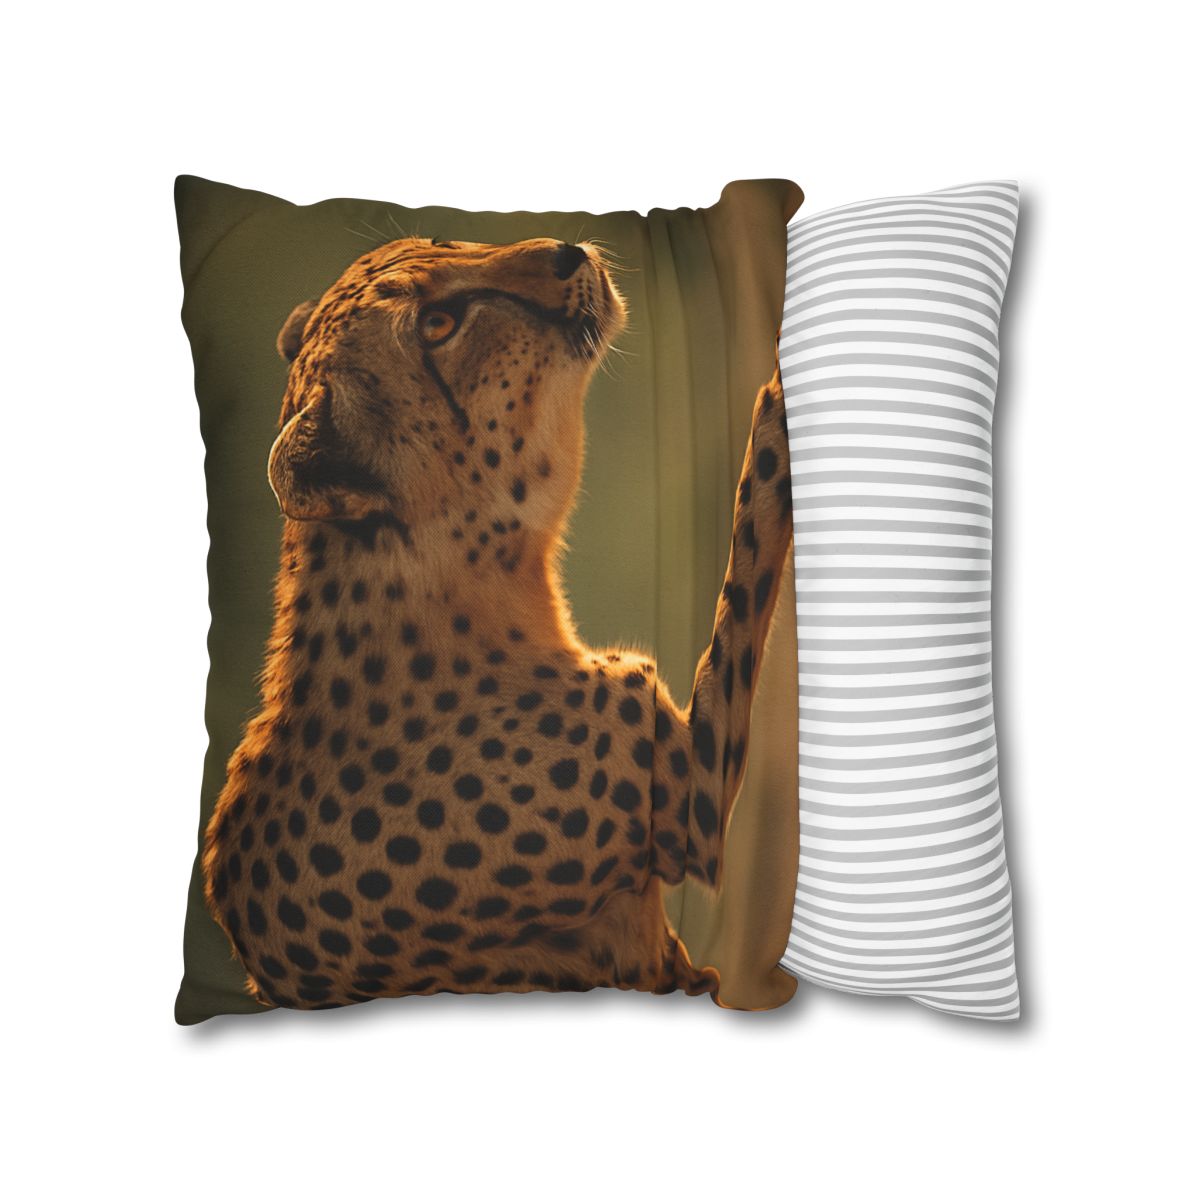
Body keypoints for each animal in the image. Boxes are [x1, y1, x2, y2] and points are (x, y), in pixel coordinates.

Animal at [202, 235, 793, 1010]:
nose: (568, 252)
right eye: (437, 327)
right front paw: (785, 391)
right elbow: (751, 535)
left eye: (442, 241)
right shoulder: (687, 818)